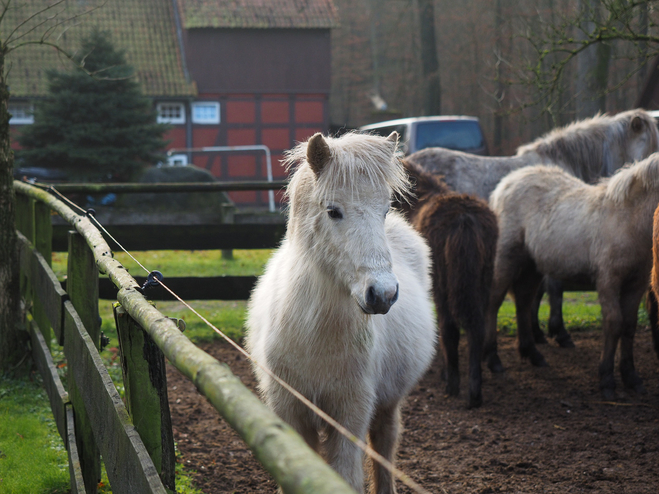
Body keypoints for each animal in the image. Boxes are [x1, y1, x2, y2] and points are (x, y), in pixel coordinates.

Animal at [245, 129, 436, 492]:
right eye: (333, 211)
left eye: (385, 209)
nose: (383, 294)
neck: (314, 336)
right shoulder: (290, 412)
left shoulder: (351, 413)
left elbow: (348, 474)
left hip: (388, 403)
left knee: (385, 443)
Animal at [400, 159, 498, 410]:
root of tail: (465, 219)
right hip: (482, 282)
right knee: (477, 328)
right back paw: (475, 392)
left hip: (443, 287)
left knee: (448, 327)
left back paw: (452, 385)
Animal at [482, 155, 659, 402]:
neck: (627, 220)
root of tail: (506, 183)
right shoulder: (608, 281)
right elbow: (614, 323)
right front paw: (607, 381)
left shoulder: (636, 284)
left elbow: (629, 327)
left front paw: (632, 378)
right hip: (507, 258)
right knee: (494, 303)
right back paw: (493, 360)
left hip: (531, 266)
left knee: (524, 303)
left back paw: (533, 354)